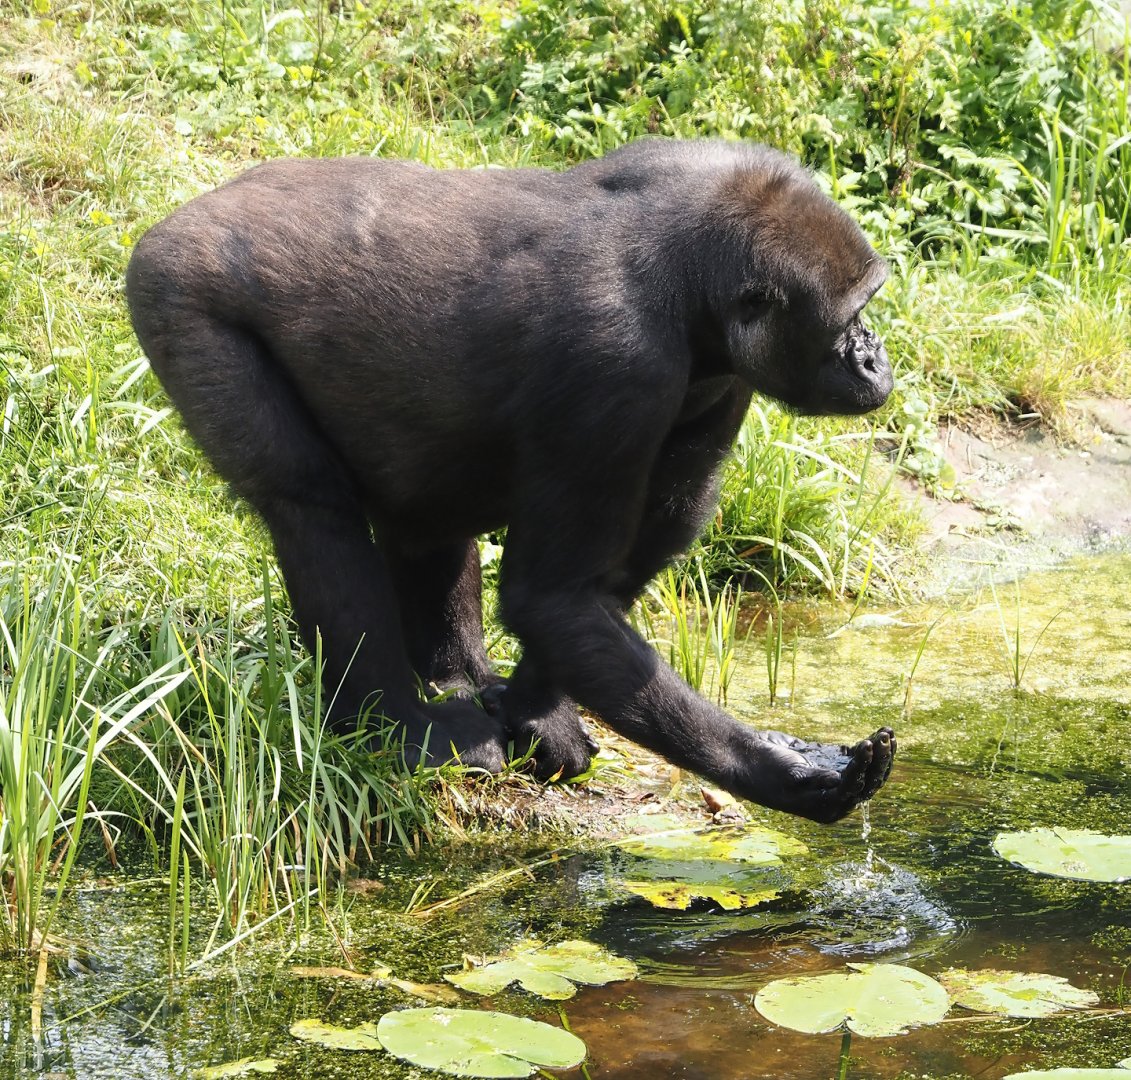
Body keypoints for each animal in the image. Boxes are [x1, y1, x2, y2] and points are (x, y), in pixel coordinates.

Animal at [126, 139, 896, 823]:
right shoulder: (612, 364)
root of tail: (181, 213)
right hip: (178, 293)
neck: (693, 284)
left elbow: (592, 592)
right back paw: (396, 723)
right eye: (850, 317)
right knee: (310, 508)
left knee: (427, 512)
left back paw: (454, 676)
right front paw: (782, 772)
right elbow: (552, 597)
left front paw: (536, 711)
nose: (874, 359)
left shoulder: (720, 369)